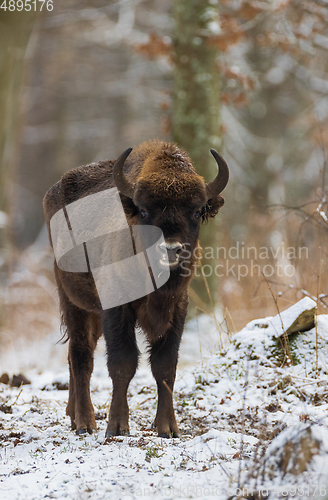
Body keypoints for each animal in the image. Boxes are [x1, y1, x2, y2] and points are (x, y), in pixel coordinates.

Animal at [43, 141, 228, 438]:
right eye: (144, 211)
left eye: (196, 212)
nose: (171, 249)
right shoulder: (116, 309)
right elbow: (123, 363)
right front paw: (117, 426)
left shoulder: (177, 309)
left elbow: (165, 366)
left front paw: (167, 428)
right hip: (73, 302)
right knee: (81, 356)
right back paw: (85, 422)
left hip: (92, 314)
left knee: (77, 355)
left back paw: (73, 415)